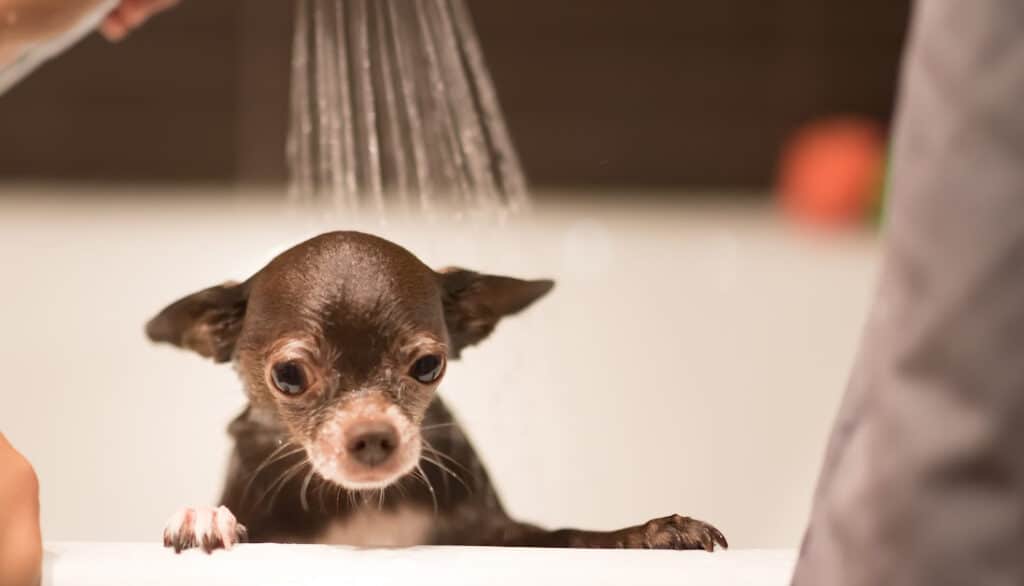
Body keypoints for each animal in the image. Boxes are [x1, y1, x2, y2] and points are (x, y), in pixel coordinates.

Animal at [148, 231, 729, 553]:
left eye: (428, 366)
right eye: (289, 376)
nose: (372, 435)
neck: (366, 506)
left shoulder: (496, 535)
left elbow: (570, 536)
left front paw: (649, 532)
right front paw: (206, 518)